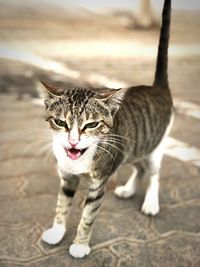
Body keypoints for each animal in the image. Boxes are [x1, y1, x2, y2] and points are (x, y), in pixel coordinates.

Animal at [41, 0, 173, 260]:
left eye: (91, 125)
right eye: (61, 123)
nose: (73, 141)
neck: (78, 160)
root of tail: (158, 88)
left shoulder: (98, 184)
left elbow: (87, 216)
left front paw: (80, 245)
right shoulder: (67, 177)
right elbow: (62, 206)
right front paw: (57, 232)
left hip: (155, 145)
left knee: (153, 173)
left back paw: (151, 203)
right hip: (134, 147)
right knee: (140, 168)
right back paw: (128, 190)